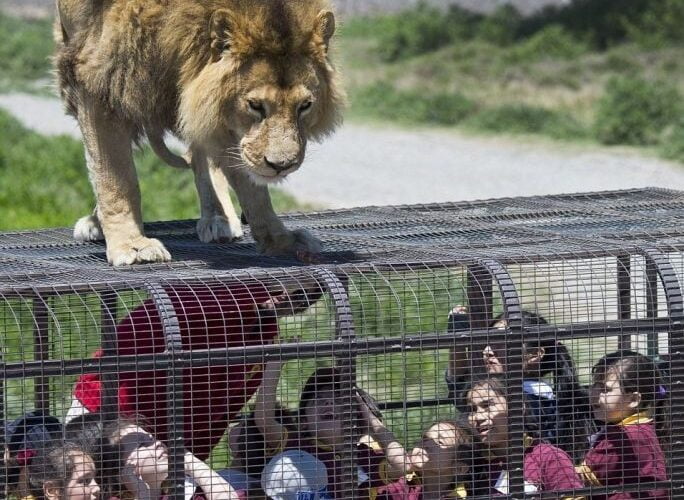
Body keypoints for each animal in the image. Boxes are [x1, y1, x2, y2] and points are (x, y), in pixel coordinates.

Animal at [54, 0, 344, 266]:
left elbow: (252, 187)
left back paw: (218, 217)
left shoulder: (223, 120)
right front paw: (132, 245)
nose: (281, 165)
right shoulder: (98, 79)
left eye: (304, 106)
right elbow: (116, 178)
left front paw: (280, 240)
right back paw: (97, 222)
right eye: (255, 105)